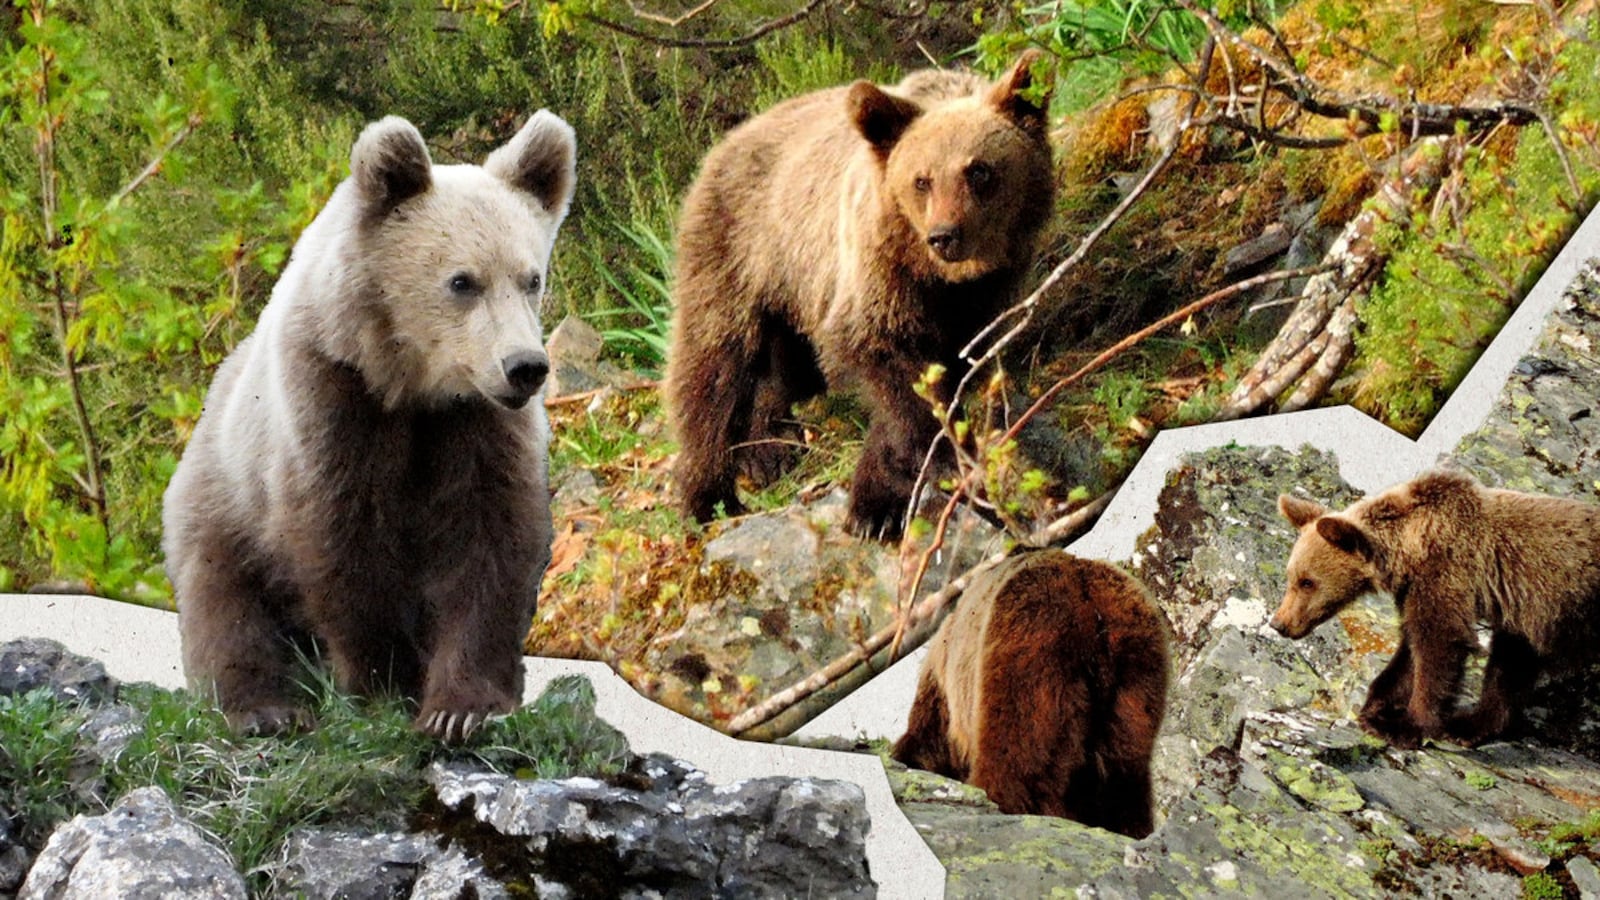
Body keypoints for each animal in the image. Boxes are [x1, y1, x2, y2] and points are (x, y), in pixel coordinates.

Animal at [162, 112, 575, 742]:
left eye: (531, 278)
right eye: (462, 281)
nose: (524, 366)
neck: (409, 385)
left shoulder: (475, 425)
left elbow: (491, 541)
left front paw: (460, 708)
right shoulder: (332, 401)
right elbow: (343, 541)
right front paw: (386, 684)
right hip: (222, 500)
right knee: (224, 603)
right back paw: (264, 709)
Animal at [664, 52, 1056, 539]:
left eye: (979, 169)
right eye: (922, 180)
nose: (944, 236)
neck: (943, 278)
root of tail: (723, 143)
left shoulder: (983, 296)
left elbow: (952, 363)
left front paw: (877, 502)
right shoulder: (875, 265)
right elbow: (883, 355)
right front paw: (936, 464)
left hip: (795, 289)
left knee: (784, 367)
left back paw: (767, 449)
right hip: (739, 248)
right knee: (711, 364)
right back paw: (706, 495)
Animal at [1272, 469, 1600, 749]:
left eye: (1307, 582)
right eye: (1290, 577)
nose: (1279, 623)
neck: (1410, 545)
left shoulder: (1445, 571)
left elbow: (1438, 644)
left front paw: (1404, 726)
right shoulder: (1414, 589)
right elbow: (1410, 650)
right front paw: (1376, 708)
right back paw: (1468, 725)